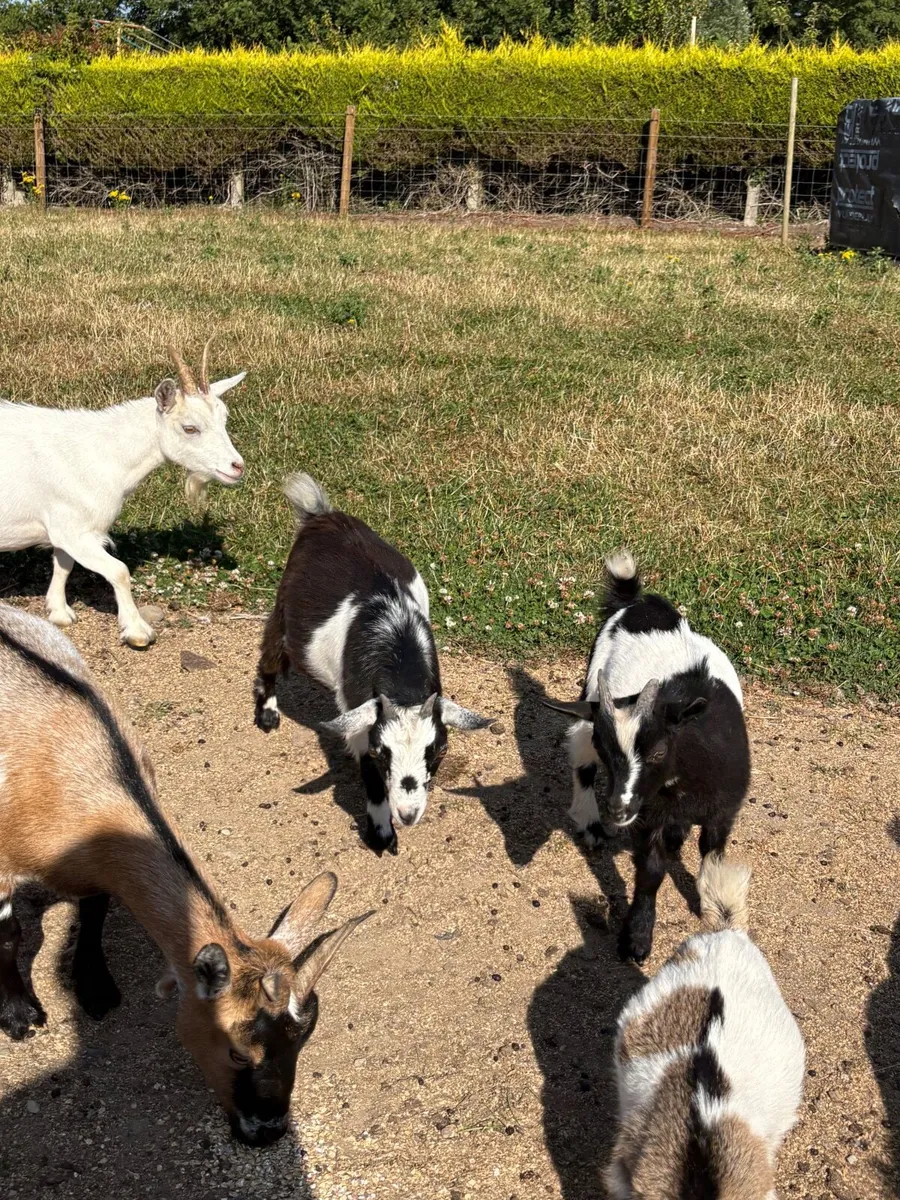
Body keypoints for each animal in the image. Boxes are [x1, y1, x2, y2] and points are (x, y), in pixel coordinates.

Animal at [0, 344, 245, 649]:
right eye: (190, 428)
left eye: (224, 420)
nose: (237, 467)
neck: (104, 452)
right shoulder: (74, 531)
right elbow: (119, 571)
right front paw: (138, 631)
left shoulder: (69, 529)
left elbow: (64, 565)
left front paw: (59, 612)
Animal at [0, 603, 371, 1146]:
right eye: (237, 1051)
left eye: (303, 1043)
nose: (267, 1132)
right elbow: (9, 933)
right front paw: (19, 1016)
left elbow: (95, 904)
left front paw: (96, 988)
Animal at [254, 473, 491, 855]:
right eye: (382, 753)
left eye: (438, 750)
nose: (408, 814)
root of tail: (323, 517)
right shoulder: (358, 716)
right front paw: (381, 833)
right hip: (283, 610)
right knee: (271, 655)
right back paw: (268, 714)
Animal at [544, 552, 750, 962]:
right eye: (607, 748)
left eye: (658, 750)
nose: (618, 809)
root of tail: (637, 604)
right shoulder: (647, 817)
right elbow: (651, 871)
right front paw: (636, 939)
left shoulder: (723, 810)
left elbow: (712, 856)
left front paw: (711, 908)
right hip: (592, 683)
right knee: (580, 758)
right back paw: (591, 823)